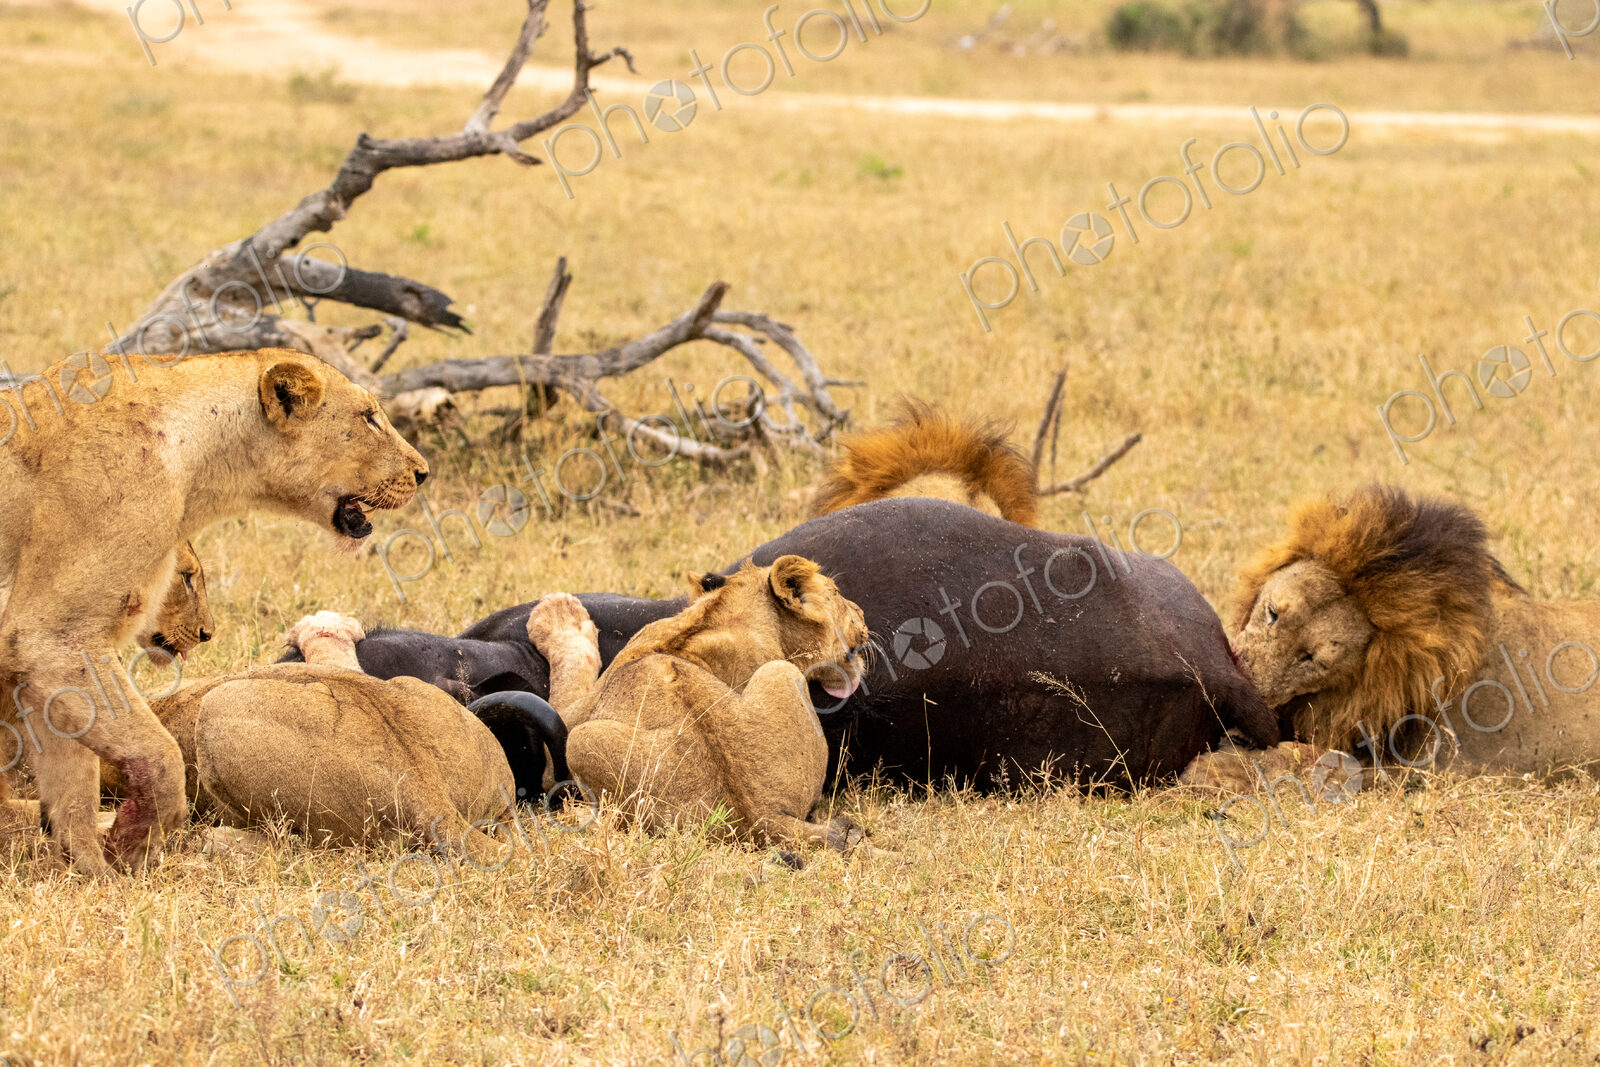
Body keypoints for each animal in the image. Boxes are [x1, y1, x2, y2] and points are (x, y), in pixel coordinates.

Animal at [0, 347, 428, 873]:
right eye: (369, 417)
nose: (423, 472)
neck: (198, 462)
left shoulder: (53, 655)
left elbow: (71, 783)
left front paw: (93, 871)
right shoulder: (50, 636)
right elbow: (159, 754)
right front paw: (134, 839)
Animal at [526, 556, 870, 851]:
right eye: (838, 593)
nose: (864, 613)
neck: (726, 612)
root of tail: (765, 818)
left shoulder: (566, 730)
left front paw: (558, 613)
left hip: (579, 741)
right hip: (780, 673)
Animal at [1184, 485, 1600, 792]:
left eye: (1312, 659)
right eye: (1272, 614)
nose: (1239, 689)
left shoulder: (1436, 765)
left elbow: (1312, 761)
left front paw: (1215, 770)